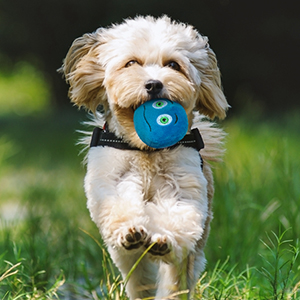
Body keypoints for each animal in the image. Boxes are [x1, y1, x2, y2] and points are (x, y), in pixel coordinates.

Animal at [59, 15, 229, 298]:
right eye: (131, 63)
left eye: (173, 65)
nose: (154, 84)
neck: (146, 151)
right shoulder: (112, 180)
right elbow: (120, 205)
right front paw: (130, 231)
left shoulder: (182, 186)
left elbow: (177, 216)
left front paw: (163, 239)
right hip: (128, 261)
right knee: (139, 275)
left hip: (192, 254)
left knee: (177, 278)